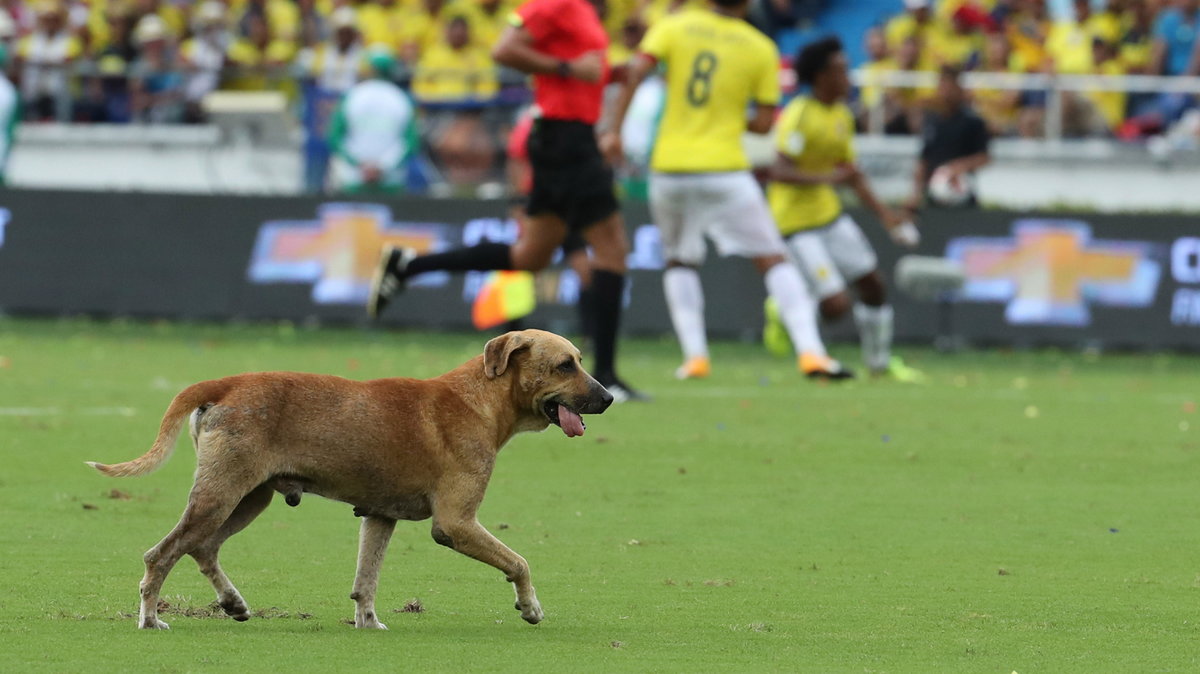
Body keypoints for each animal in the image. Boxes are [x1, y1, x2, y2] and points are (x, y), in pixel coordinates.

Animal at [87, 328, 609, 628]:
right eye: (565, 364)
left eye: (580, 360)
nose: (607, 398)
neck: (478, 399)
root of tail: (226, 383)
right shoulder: (456, 525)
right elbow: (519, 562)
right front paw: (530, 607)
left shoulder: (378, 516)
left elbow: (366, 580)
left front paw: (368, 621)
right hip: (220, 496)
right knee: (162, 555)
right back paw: (151, 619)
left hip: (247, 499)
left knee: (202, 548)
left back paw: (233, 603)